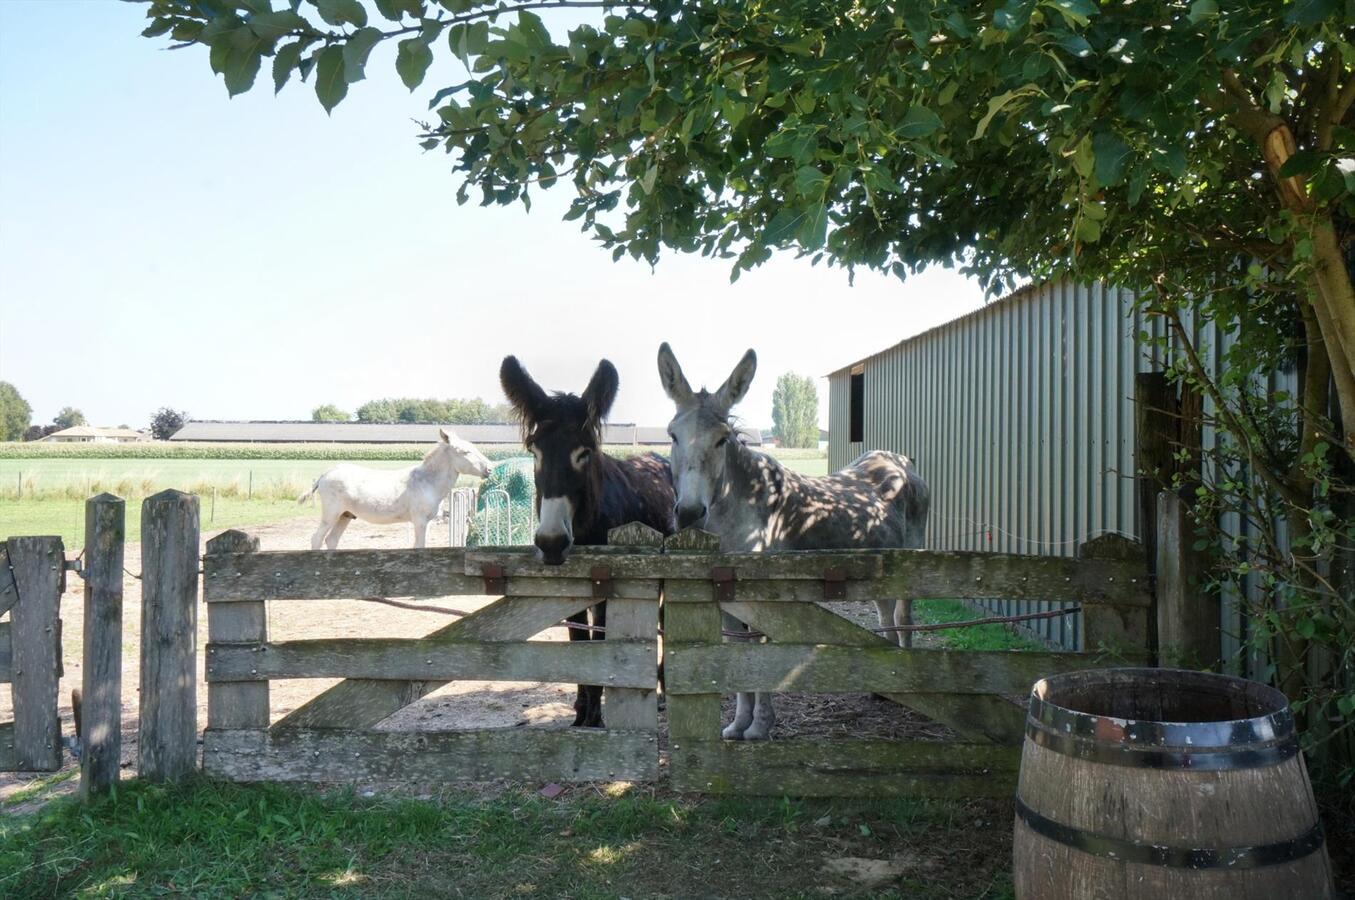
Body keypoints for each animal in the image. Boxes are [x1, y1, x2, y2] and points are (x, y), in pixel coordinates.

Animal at [302, 428, 493, 547]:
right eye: (465, 452)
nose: (490, 469)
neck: (427, 482)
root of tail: (324, 475)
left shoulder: (429, 522)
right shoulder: (419, 521)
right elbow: (419, 546)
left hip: (345, 515)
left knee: (331, 540)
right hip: (331, 513)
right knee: (316, 539)